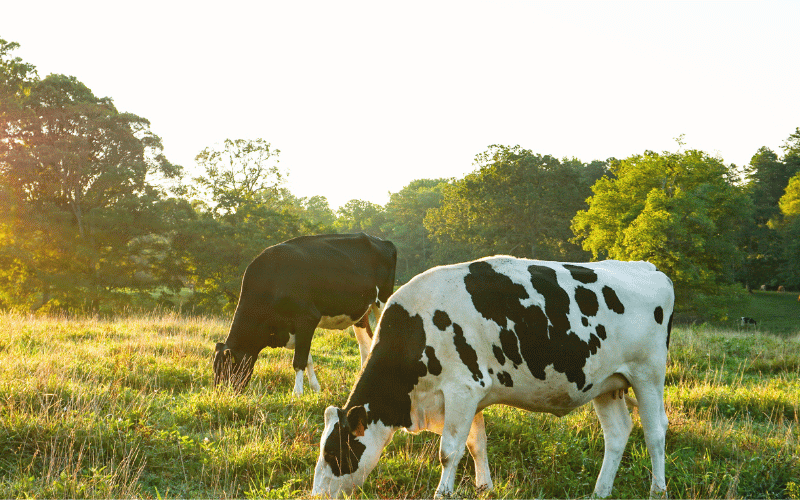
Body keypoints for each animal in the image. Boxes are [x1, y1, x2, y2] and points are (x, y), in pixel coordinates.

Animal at [212, 232, 396, 396]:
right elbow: (307, 358)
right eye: (215, 370)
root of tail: (382, 241)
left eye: (226, 369)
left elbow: (299, 361)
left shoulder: (307, 319)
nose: (220, 395)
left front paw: (297, 393)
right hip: (360, 313)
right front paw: (315, 388)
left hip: (382, 302)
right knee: (366, 345)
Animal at [312, 256, 676, 498]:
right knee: (618, 433)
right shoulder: (472, 394)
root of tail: (647, 267)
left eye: (334, 453)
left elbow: (449, 451)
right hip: (606, 383)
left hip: (648, 374)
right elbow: (476, 444)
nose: (315, 495)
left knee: (655, 432)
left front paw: (443, 493)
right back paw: (600, 491)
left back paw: (657, 489)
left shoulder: (461, 389)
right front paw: (484, 486)